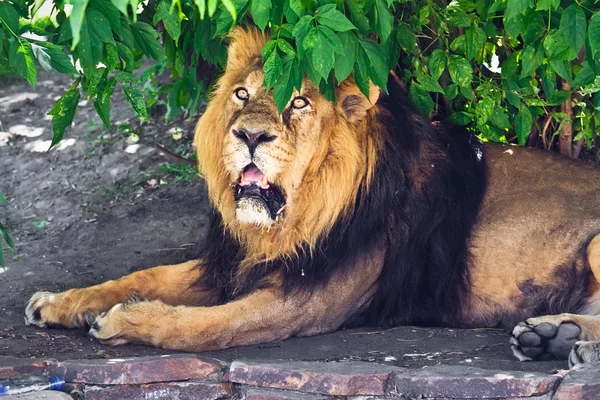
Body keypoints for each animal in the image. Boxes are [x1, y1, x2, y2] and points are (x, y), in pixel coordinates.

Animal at [25, 27, 600, 366]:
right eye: (242, 94)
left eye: (298, 102)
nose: (250, 136)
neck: (286, 222)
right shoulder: (230, 263)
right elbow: (140, 277)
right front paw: (60, 302)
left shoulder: (305, 302)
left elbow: (205, 327)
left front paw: (123, 320)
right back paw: (552, 337)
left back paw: (568, 347)